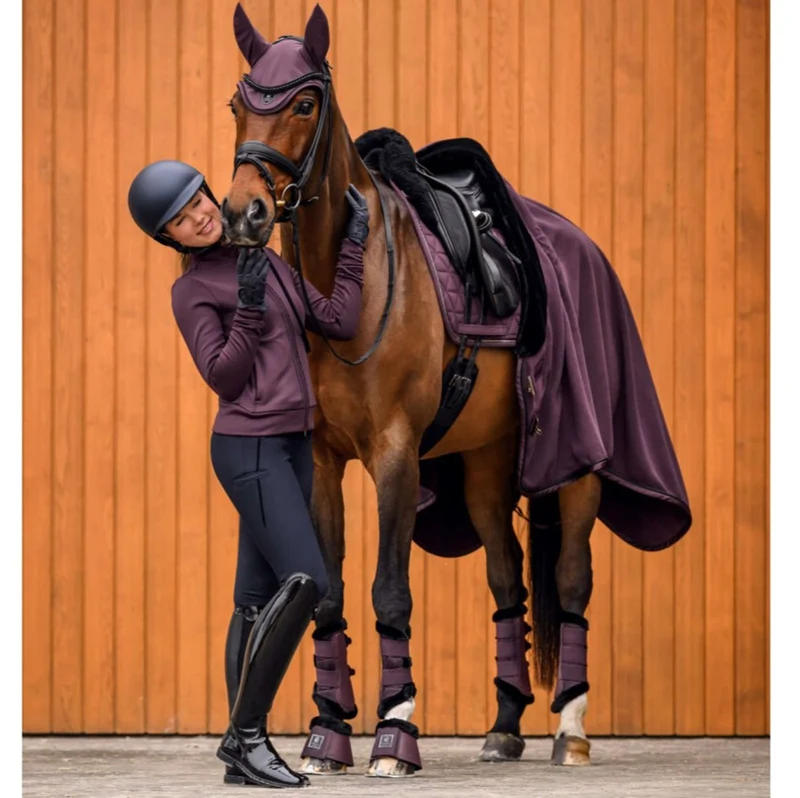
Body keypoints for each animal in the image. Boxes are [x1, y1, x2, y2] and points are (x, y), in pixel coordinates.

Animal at [220, 3, 691, 778]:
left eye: (304, 103)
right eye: (238, 104)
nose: (244, 213)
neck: (352, 284)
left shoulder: (395, 455)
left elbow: (389, 590)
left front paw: (394, 734)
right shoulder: (322, 461)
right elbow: (327, 594)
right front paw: (327, 735)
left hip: (580, 471)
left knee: (571, 581)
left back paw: (570, 731)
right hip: (486, 466)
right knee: (507, 583)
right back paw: (503, 728)